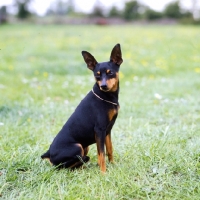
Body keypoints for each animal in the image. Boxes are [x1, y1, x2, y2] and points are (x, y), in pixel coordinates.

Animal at [41, 44, 122, 173]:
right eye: (97, 74)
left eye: (110, 73)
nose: (103, 86)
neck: (106, 96)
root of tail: (48, 153)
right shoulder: (99, 131)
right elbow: (101, 154)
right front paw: (103, 173)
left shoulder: (107, 131)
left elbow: (109, 150)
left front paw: (113, 165)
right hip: (78, 146)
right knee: (64, 166)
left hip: (85, 146)